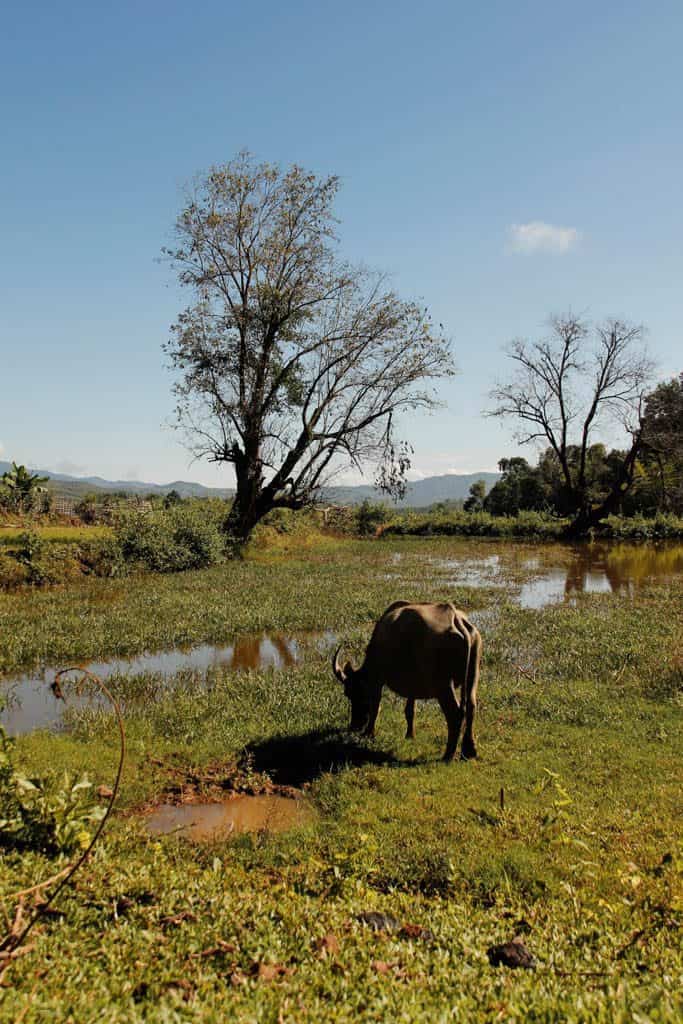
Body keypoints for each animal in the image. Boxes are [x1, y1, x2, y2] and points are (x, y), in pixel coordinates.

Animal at [333, 598, 483, 761]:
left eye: (351, 693)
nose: (355, 726)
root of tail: (455, 619)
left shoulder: (377, 681)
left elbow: (375, 706)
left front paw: (369, 733)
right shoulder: (413, 686)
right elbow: (410, 710)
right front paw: (410, 735)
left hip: (443, 685)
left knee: (455, 714)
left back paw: (448, 755)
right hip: (473, 674)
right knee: (471, 706)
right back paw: (469, 750)